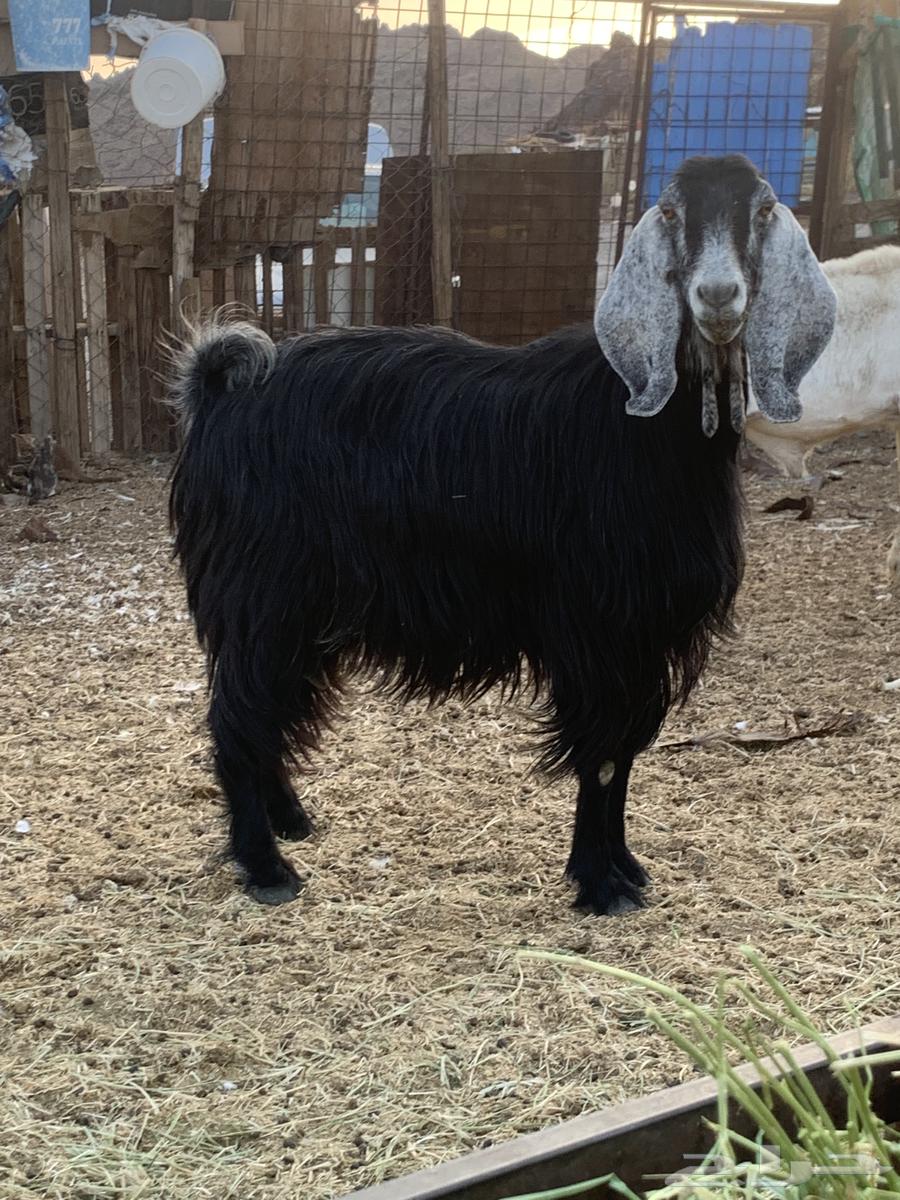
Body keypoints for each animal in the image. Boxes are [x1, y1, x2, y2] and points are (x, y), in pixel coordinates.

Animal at [169, 154, 835, 915]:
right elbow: (602, 756)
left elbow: (624, 756)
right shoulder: (602, 633)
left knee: (270, 711)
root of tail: (217, 389)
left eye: (764, 210)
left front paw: (623, 868)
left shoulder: (641, 639)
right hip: (262, 597)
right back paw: (265, 866)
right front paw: (600, 882)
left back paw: (290, 821)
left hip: (301, 612)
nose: (718, 297)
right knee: (239, 719)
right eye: (670, 212)